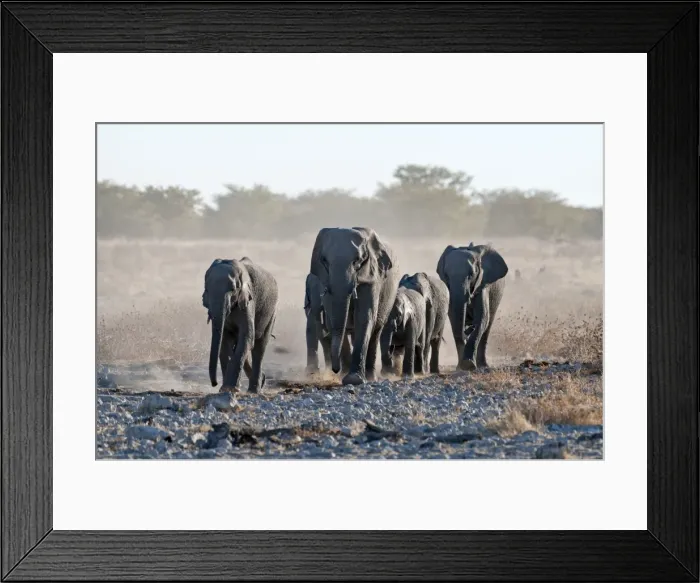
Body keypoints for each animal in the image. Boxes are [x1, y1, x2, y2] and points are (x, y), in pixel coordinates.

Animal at [202, 256, 279, 393]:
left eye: (233, 290)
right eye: (207, 290)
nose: (214, 384)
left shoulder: (248, 301)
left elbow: (247, 336)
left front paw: (230, 388)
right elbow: (225, 341)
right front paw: (225, 389)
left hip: (272, 311)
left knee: (259, 347)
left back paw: (254, 390)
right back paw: (261, 381)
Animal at [309, 226, 400, 386]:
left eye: (357, 261)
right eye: (324, 261)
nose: (335, 369)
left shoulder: (372, 276)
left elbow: (364, 318)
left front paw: (354, 380)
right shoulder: (323, 280)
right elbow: (334, 320)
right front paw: (345, 377)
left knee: (376, 331)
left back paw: (370, 377)